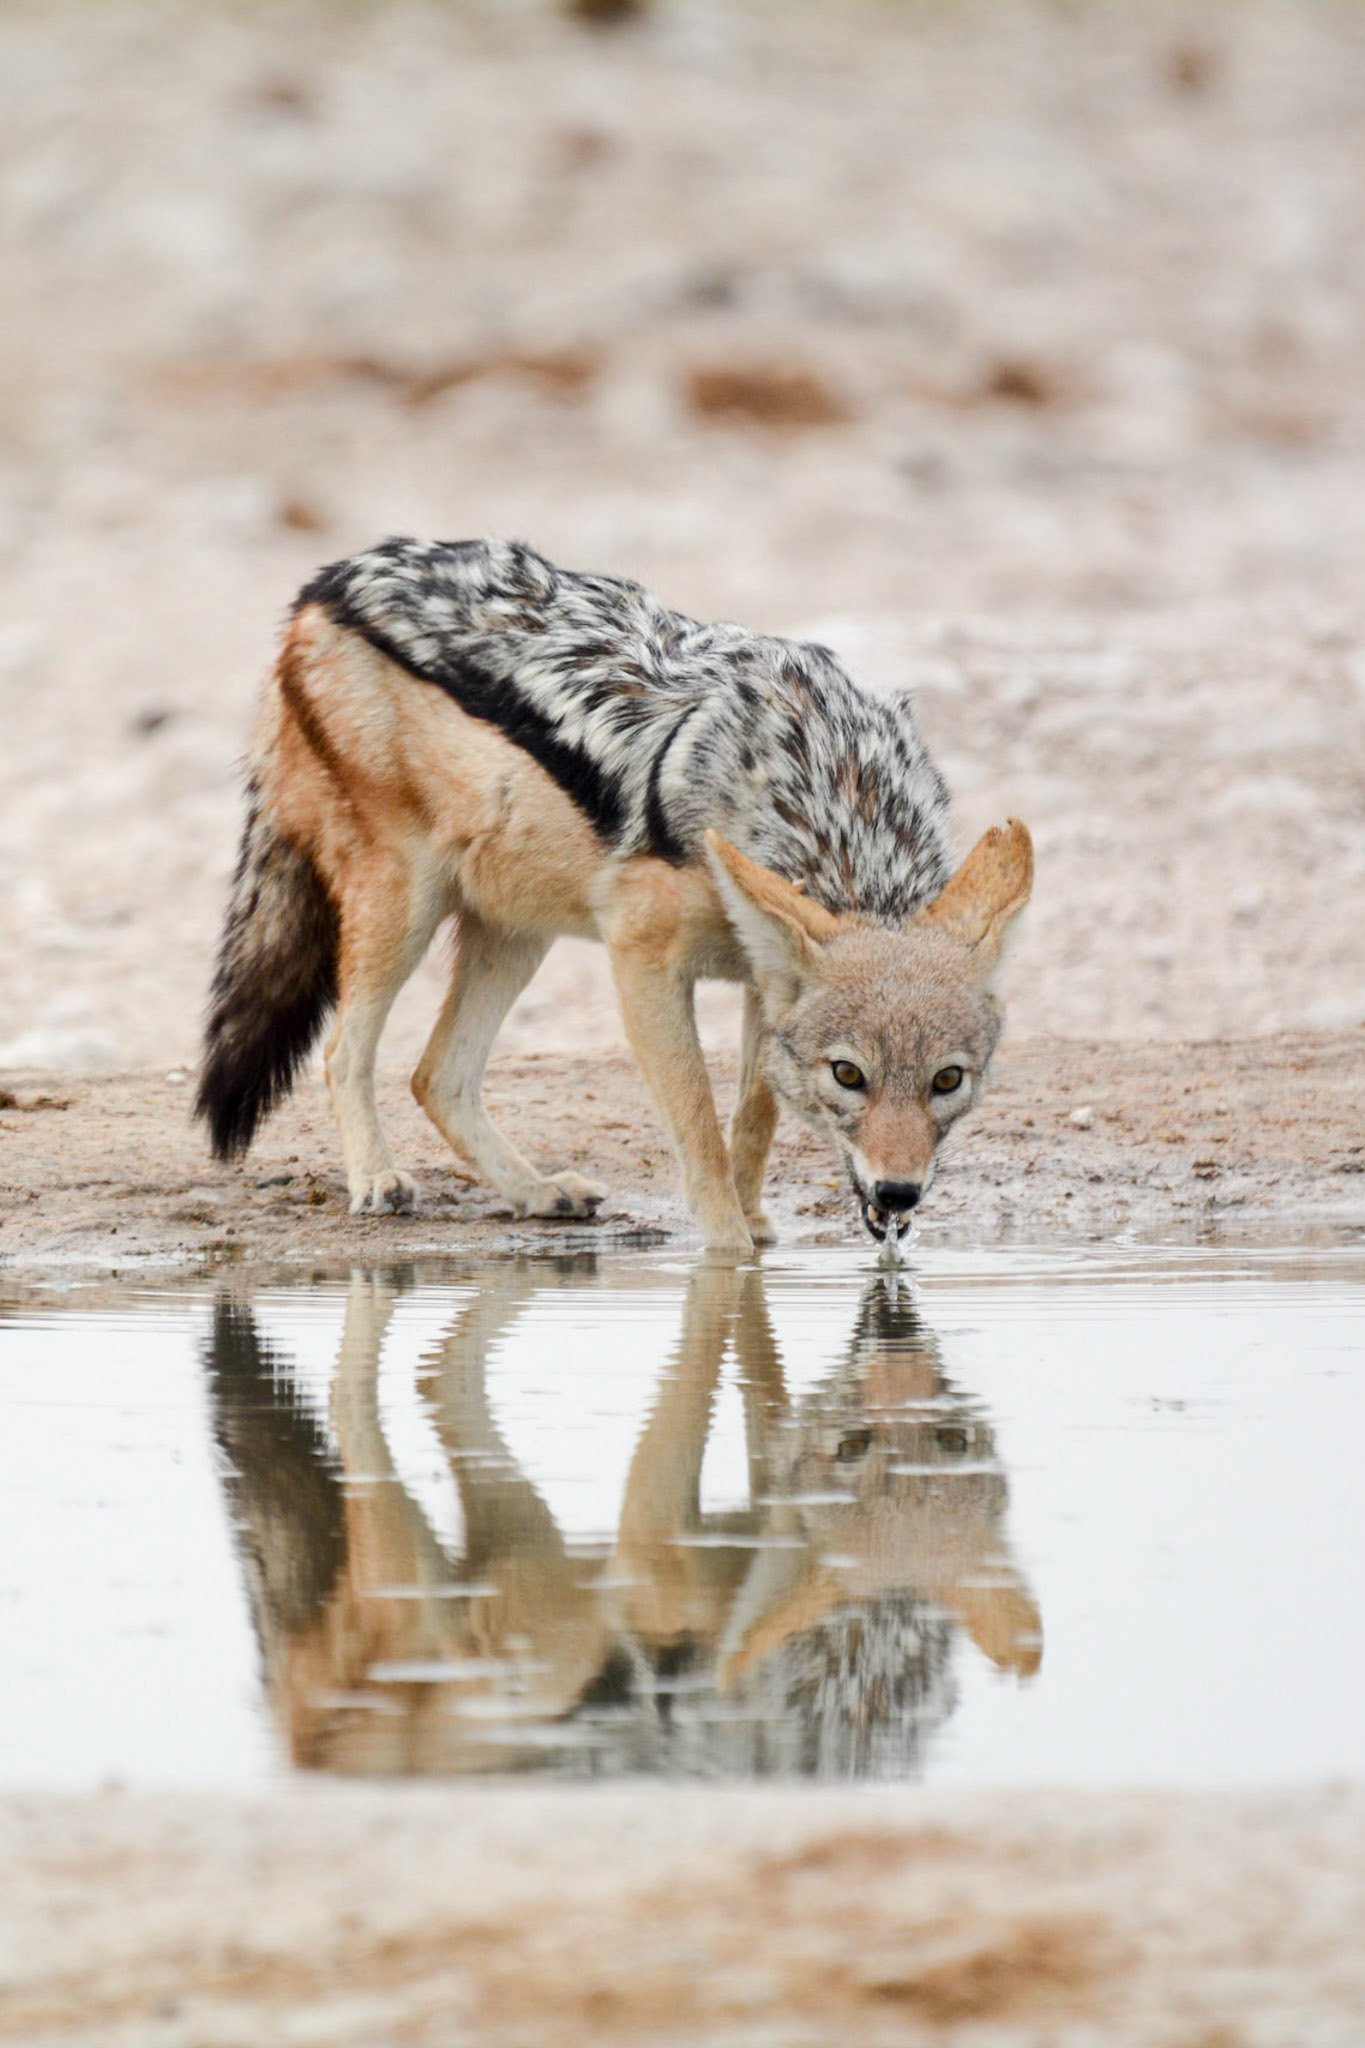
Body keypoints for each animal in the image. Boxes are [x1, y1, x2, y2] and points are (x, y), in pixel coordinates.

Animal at [197, 538, 1031, 1250]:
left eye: (947, 1080)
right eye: (848, 1075)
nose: (897, 1195)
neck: (830, 797)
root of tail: (328, 579)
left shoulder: (759, 980)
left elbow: (751, 1122)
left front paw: (757, 1225)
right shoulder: (644, 961)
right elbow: (700, 1131)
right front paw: (729, 1257)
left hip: (514, 932)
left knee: (436, 1076)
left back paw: (535, 1193)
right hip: (404, 908)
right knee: (345, 1051)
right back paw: (376, 1178)